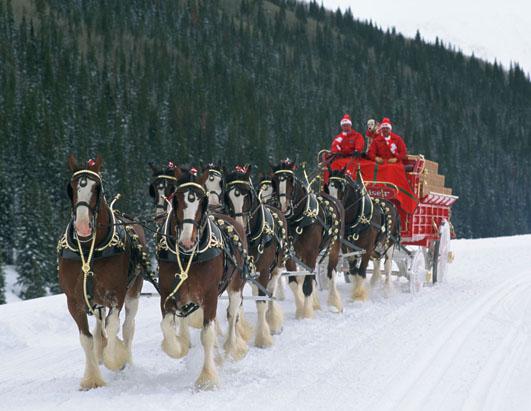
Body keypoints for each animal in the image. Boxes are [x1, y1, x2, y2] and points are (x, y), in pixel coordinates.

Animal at [57, 154, 145, 390]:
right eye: (71, 187)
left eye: (97, 187)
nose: (83, 226)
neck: (90, 249)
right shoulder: (74, 302)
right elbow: (86, 338)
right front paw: (92, 379)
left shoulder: (116, 295)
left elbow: (114, 327)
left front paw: (115, 359)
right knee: (100, 327)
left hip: (134, 292)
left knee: (128, 327)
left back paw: (127, 361)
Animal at [157, 165, 250, 390]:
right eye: (176, 200)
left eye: (201, 202)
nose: (187, 241)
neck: (186, 255)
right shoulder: (167, 294)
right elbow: (167, 327)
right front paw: (178, 347)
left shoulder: (209, 295)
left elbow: (207, 334)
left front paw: (207, 378)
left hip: (235, 285)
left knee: (232, 314)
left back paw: (231, 349)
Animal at [225, 164, 290, 348]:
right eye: (228, 197)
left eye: (247, 194)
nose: (239, 226)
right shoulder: (241, 273)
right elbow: (237, 305)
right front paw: (239, 333)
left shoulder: (263, 269)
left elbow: (261, 300)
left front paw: (263, 338)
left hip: (277, 267)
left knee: (270, 291)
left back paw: (272, 321)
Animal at [270, 161, 344, 318]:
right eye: (274, 180)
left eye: (290, 179)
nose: (283, 205)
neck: (298, 219)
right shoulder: (290, 255)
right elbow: (295, 282)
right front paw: (301, 309)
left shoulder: (311, 252)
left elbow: (307, 284)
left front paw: (306, 313)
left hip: (334, 246)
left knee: (331, 273)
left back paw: (335, 302)